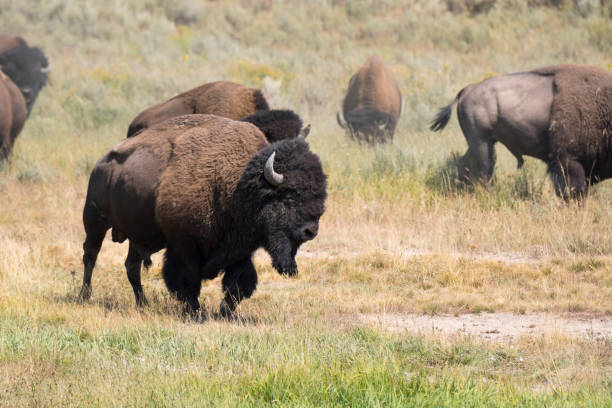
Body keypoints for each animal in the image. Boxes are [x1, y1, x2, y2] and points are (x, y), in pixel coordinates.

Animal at [82, 110, 330, 318]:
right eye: (290, 196)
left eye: (320, 195)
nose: (311, 231)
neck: (237, 186)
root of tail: (101, 164)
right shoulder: (184, 244)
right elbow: (188, 279)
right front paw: (194, 310)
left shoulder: (240, 249)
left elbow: (238, 284)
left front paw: (224, 312)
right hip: (95, 221)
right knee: (91, 255)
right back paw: (85, 296)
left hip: (136, 235)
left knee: (131, 267)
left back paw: (143, 303)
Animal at [430, 63, 612, 201]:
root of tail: (467, 90)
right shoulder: (568, 161)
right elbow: (572, 189)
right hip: (482, 143)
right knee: (485, 170)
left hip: (479, 143)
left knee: (466, 165)